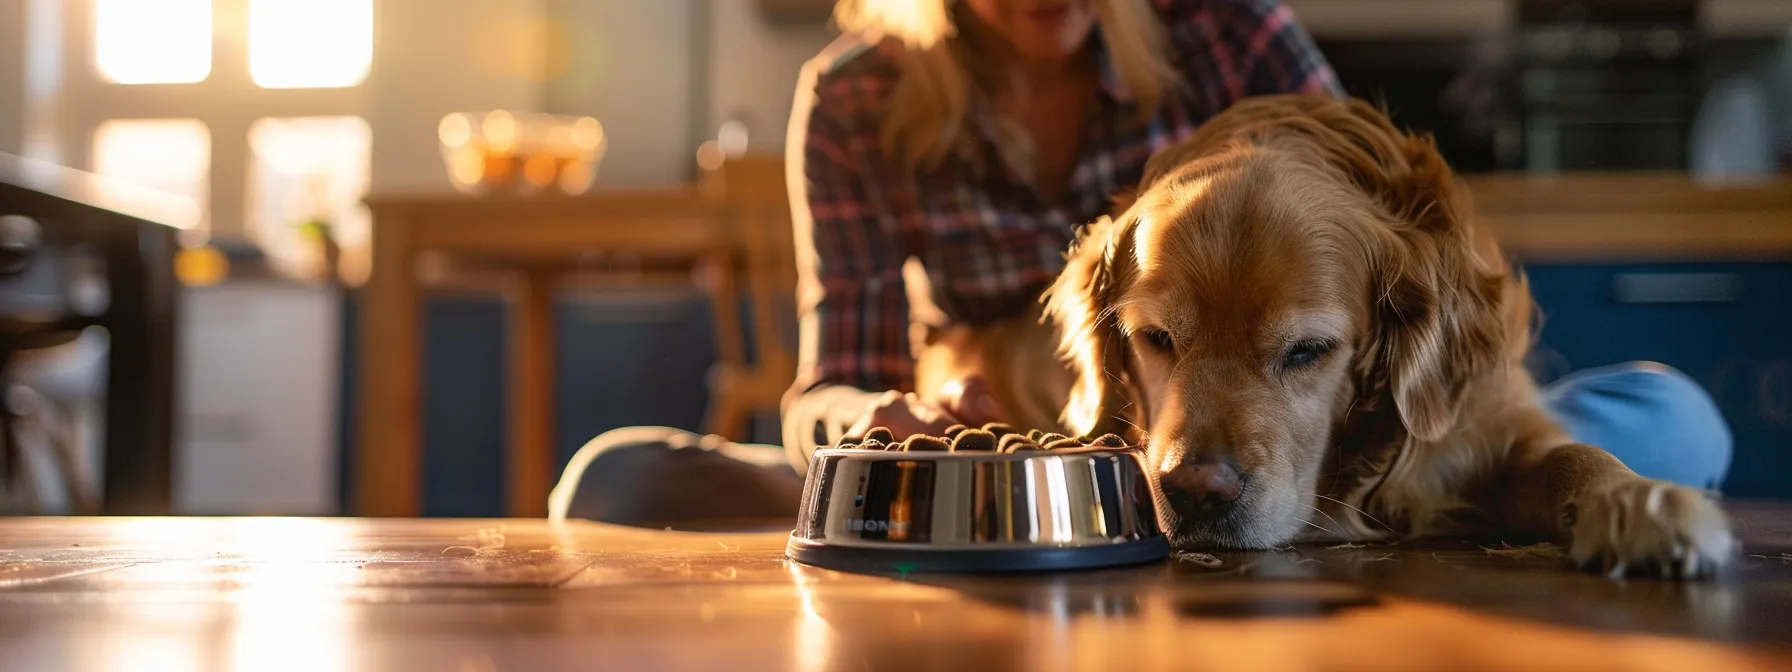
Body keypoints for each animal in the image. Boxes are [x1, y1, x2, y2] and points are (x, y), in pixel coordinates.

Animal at [917, 93, 1727, 580]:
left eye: (1308, 350)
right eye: (1157, 338)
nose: (1196, 492)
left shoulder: (1488, 421)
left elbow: (1575, 456)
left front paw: (1643, 504)